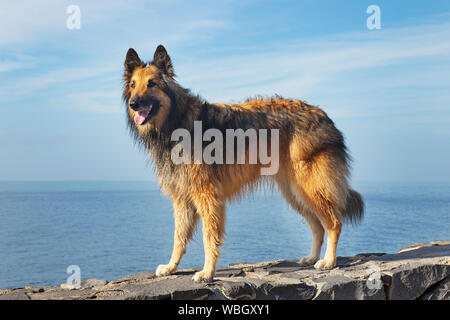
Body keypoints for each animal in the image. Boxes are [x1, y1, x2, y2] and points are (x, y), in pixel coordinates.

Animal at [123, 45, 366, 282]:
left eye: (151, 84)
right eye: (133, 85)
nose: (133, 104)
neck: (176, 121)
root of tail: (324, 116)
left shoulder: (207, 196)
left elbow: (208, 237)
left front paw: (207, 272)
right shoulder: (182, 198)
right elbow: (179, 237)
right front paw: (171, 267)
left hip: (311, 187)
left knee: (333, 223)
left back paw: (328, 261)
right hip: (295, 192)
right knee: (317, 226)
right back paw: (312, 257)